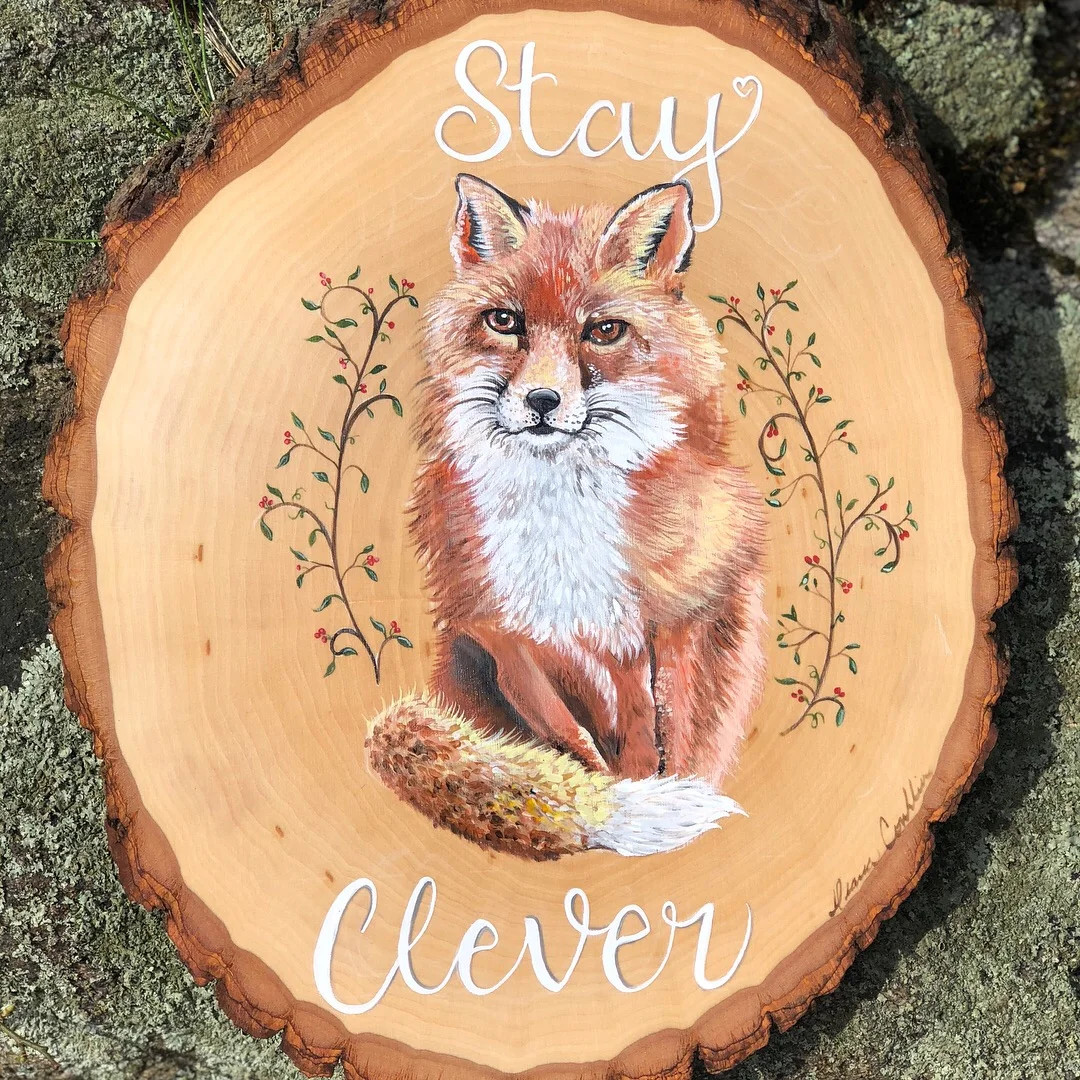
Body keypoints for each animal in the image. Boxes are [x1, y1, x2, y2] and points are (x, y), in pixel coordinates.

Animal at [366, 174, 766, 860]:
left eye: (603, 330)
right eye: (505, 321)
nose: (542, 401)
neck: (560, 525)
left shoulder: (665, 620)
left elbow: (665, 740)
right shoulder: (501, 632)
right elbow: (574, 750)